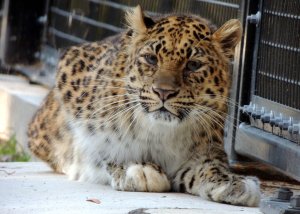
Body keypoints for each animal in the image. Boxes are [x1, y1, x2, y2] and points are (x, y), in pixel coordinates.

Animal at [28, 5, 260, 206]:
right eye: (151, 59)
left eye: (193, 65)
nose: (163, 92)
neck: (161, 132)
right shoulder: (69, 72)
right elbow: (99, 145)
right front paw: (136, 167)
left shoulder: (204, 149)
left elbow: (211, 165)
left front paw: (232, 182)